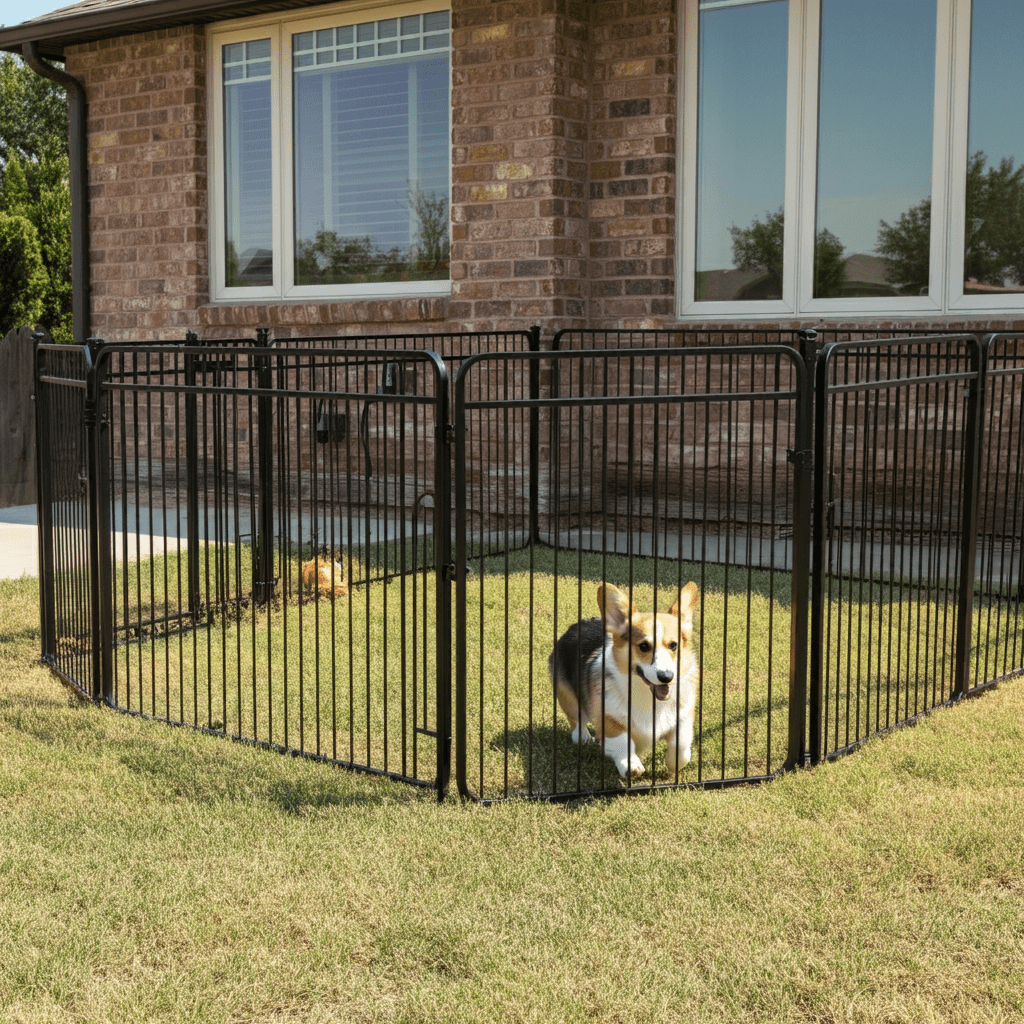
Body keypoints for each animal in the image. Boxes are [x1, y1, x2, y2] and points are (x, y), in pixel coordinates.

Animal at [552, 581, 696, 778]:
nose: (666, 677)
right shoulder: (609, 717)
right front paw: (630, 764)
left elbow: (680, 744)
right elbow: (622, 741)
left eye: (674, 645)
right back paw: (583, 737)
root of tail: (576, 625)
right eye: (644, 646)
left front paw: (674, 764)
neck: (647, 697)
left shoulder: (682, 717)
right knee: (576, 717)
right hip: (566, 692)